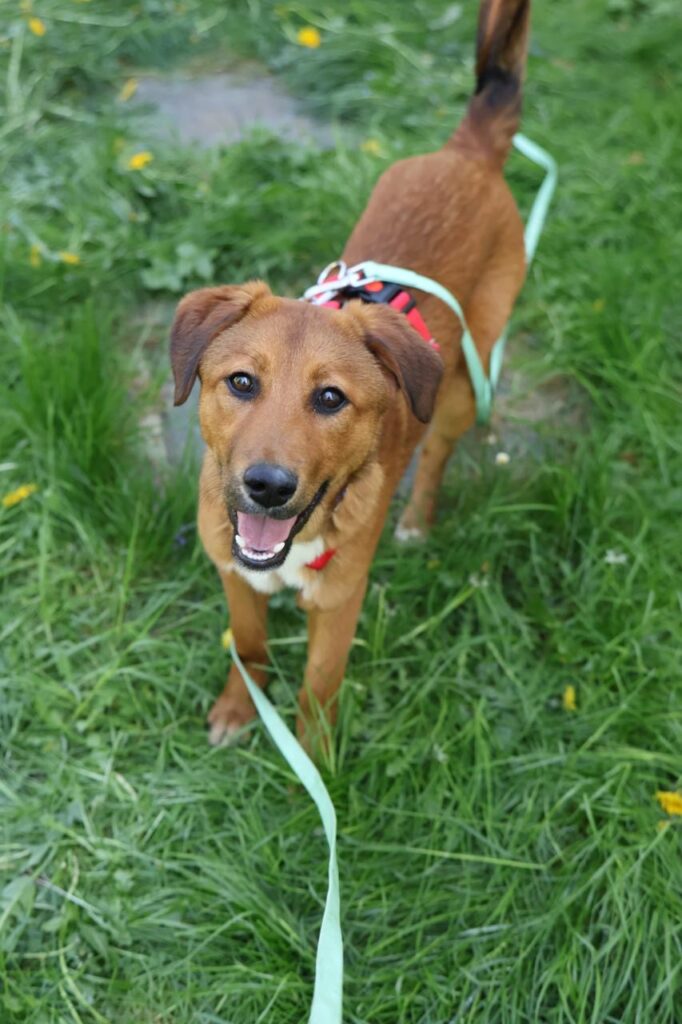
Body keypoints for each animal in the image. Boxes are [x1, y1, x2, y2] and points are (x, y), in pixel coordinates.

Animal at [170, 0, 531, 751]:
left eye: (331, 398)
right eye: (241, 383)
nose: (268, 486)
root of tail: (467, 152)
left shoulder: (338, 605)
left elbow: (318, 688)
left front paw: (315, 759)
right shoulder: (233, 576)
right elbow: (248, 647)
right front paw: (239, 710)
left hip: (461, 383)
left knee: (438, 453)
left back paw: (417, 522)